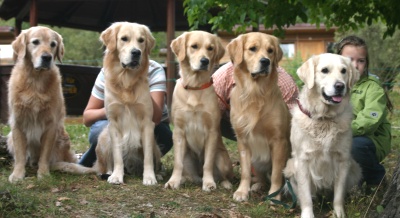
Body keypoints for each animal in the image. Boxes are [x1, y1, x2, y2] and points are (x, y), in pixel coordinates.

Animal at [7, 25, 77, 182]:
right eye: (35, 42)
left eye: (53, 44)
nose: (47, 57)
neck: (35, 81)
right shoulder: (18, 123)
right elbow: (20, 155)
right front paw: (17, 174)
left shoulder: (51, 125)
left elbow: (45, 155)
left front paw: (43, 173)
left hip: (62, 138)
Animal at [165, 30, 234, 191]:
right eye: (194, 46)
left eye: (210, 48)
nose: (205, 61)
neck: (194, 87)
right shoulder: (179, 131)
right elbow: (177, 163)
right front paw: (173, 181)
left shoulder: (212, 132)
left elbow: (207, 164)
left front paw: (208, 183)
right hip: (187, 157)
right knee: (190, 174)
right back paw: (184, 179)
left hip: (222, 159)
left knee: (222, 176)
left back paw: (225, 183)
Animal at [228, 31, 290, 201]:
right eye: (252, 49)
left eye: (270, 51)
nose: (265, 61)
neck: (255, 93)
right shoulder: (242, 138)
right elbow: (245, 172)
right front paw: (242, 191)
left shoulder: (279, 141)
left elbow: (276, 174)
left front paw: (275, 196)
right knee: (260, 177)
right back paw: (257, 186)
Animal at [284, 53, 362, 218]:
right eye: (324, 70)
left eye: (344, 71)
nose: (340, 86)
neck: (324, 118)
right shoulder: (302, 160)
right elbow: (306, 196)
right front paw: (307, 214)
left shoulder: (343, 159)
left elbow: (338, 194)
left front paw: (339, 213)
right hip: (289, 168)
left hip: (355, 167)